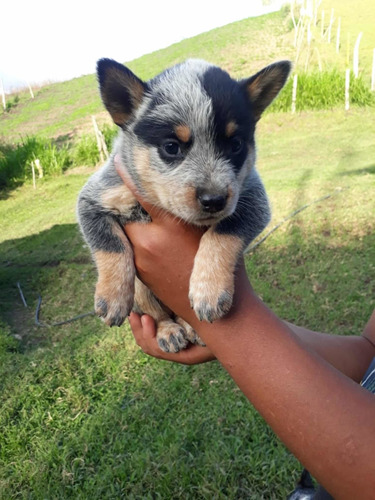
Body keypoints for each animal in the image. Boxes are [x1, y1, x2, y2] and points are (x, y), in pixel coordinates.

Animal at [78, 57, 292, 352]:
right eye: (171, 147)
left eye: (236, 145)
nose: (214, 200)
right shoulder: (95, 197)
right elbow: (110, 245)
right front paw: (112, 296)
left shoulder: (253, 200)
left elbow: (222, 235)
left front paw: (209, 290)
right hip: (144, 292)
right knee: (158, 315)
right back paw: (168, 331)